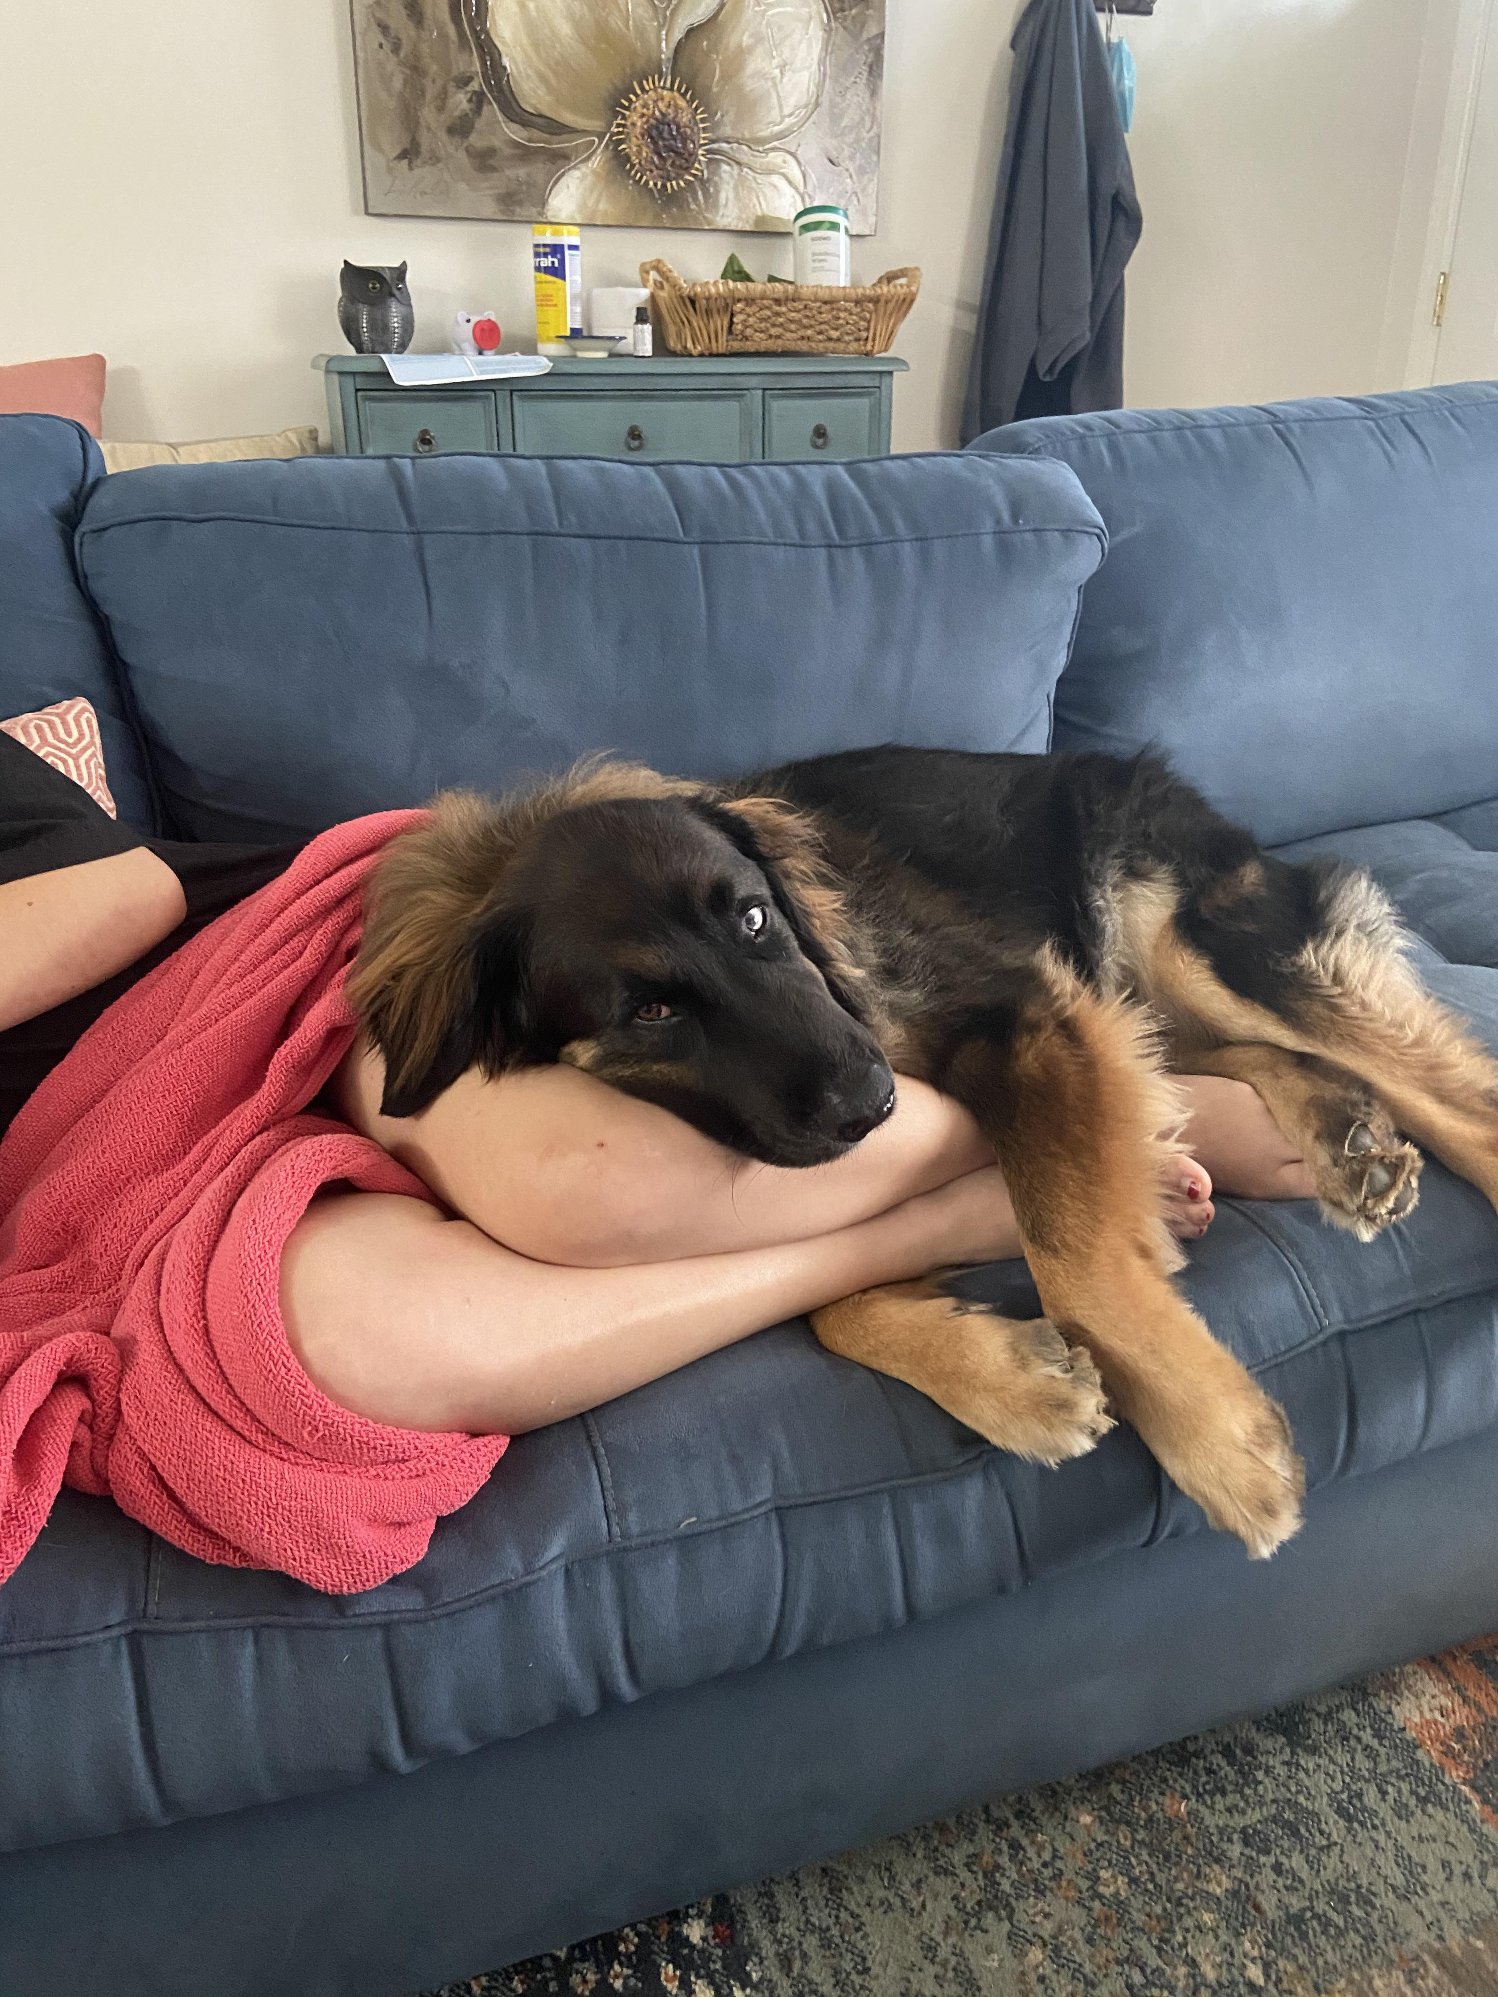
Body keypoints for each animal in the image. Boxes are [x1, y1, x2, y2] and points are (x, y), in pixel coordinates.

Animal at [348, 747, 1498, 1557]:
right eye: (651, 1009)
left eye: (756, 920)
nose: (874, 1104)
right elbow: (834, 1300)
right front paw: (1013, 1379)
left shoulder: (1028, 1010)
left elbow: (1073, 1254)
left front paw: (1213, 1437)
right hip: (1143, 992)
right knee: (1261, 1056)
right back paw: (1340, 1134)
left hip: (1175, 943)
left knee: (1448, 1092)